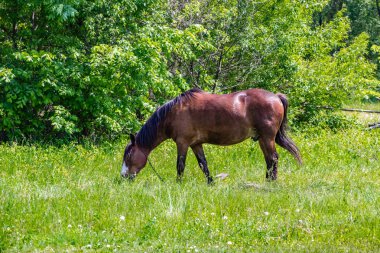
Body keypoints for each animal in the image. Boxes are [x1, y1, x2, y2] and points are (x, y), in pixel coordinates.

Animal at [120, 88, 302, 183]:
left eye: (128, 156)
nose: (123, 176)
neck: (173, 113)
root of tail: (276, 96)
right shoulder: (196, 144)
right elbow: (203, 164)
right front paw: (211, 182)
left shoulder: (182, 143)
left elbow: (180, 165)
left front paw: (178, 183)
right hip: (262, 139)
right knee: (269, 159)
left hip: (267, 137)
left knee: (273, 158)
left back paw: (271, 182)